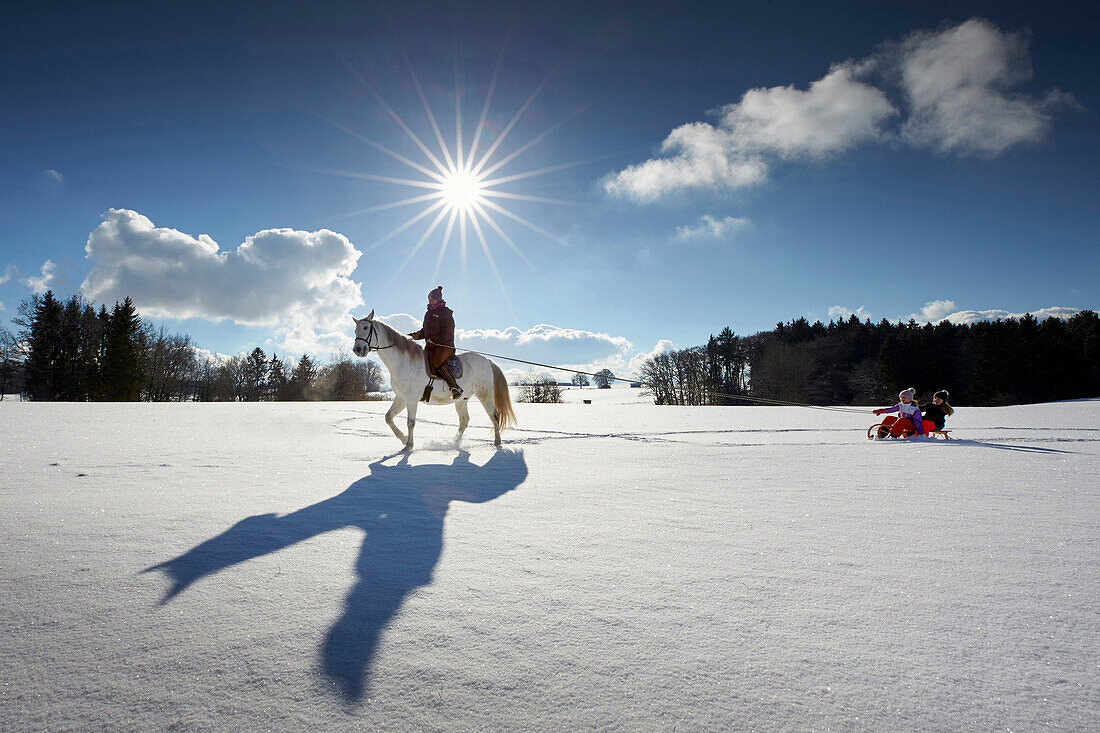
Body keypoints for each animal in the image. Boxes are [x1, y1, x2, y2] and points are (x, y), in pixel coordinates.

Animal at [352, 305, 514, 449]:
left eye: (365, 328)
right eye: (355, 330)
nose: (357, 349)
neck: (402, 362)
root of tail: (487, 360)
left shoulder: (411, 399)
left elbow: (411, 422)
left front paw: (409, 446)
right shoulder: (401, 398)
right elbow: (388, 417)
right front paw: (403, 439)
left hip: (485, 395)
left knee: (494, 416)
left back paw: (497, 443)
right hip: (462, 400)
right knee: (464, 421)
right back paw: (453, 444)